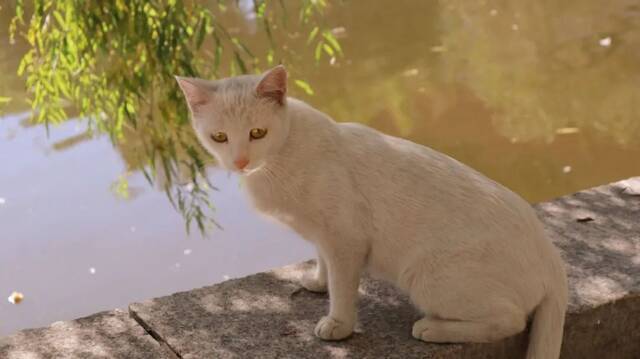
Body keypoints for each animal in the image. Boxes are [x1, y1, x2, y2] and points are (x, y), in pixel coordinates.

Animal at [175, 66, 564, 358]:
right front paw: (318, 282)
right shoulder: (323, 235)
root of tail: (553, 259)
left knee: (511, 320)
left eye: (258, 132)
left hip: (428, 277)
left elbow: (343, 288)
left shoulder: (345, 237)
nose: (240, 161)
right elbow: (323, 263)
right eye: (219, 137)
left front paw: (338, 324)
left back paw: (432, 328)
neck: (278, 160)